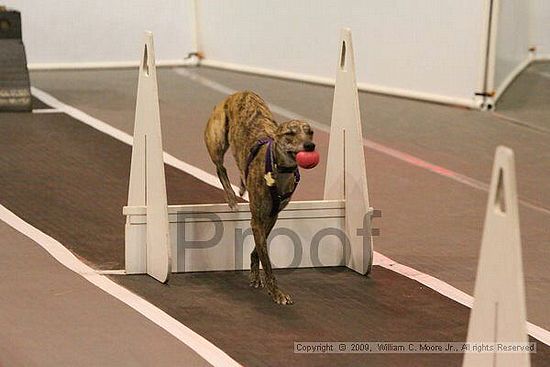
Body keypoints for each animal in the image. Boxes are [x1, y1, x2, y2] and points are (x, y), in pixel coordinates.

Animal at [205, 91, 316, 304]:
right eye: (290, 134)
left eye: (310, 132)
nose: (310, 145)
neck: (279, 169)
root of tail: (238, 93)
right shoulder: (257, 219)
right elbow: (268, 261)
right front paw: (276, 292)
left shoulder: (271, 217)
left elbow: (258, 249)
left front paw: (255, 275)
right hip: (217, 141)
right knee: (220, 167)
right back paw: (231, 197)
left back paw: (240, 187)